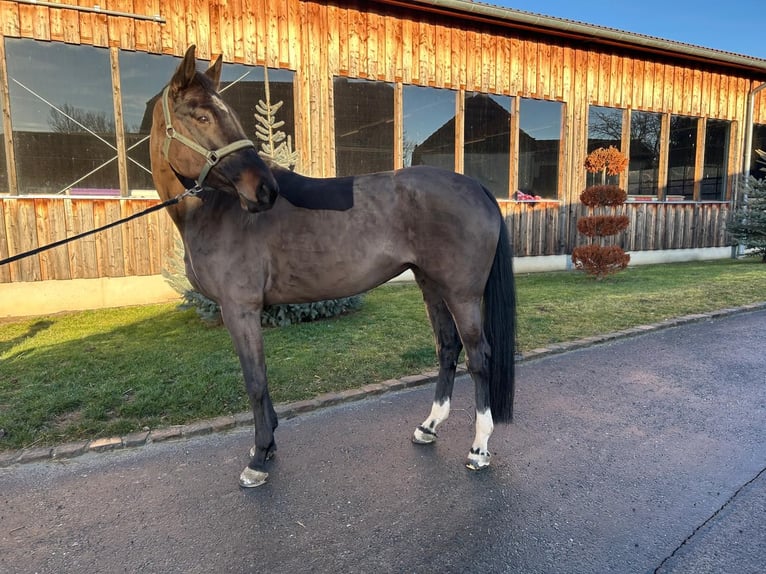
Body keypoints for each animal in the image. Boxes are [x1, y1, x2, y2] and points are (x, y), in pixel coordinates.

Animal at [150, 45, 517, 488]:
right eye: (201, 116)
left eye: (225, 115)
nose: (264, 190)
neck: (217, 209)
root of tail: (476, 186)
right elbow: (261, 379)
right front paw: (266, 447)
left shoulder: (239, 309)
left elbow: (255, 381)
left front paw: (259, 457)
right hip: (431, 284)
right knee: (448, 347)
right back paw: (428, 428)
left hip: (462, 294)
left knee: (479, 357)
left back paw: (479, 449)